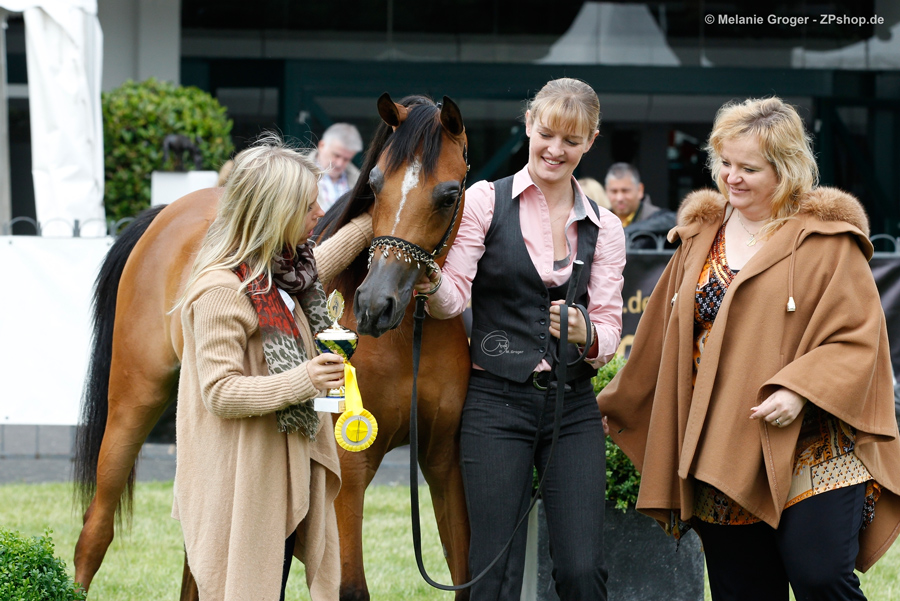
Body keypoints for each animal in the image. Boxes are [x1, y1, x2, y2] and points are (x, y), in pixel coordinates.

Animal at [72, 93, 472, 601]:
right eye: (375, 183)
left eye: (449, 194)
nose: (375, 304)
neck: (409, 342)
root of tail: (165, 214)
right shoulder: (349, 471)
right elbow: (350, 588)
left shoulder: (444, 462)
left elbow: (465, 573)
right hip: (133, 401)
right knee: (96, 529)